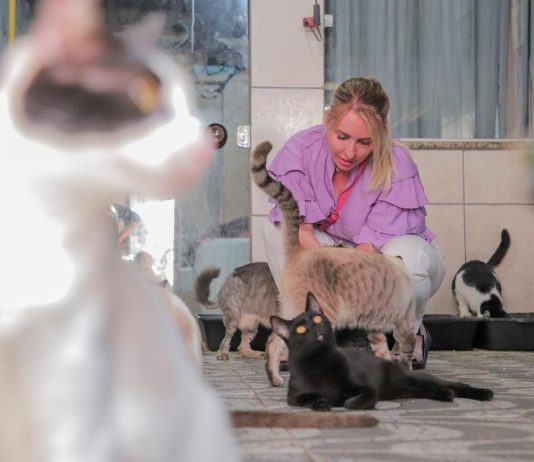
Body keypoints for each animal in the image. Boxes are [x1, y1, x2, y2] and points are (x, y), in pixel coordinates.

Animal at [270, 292, 494, 410]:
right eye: (300, 329)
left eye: (317, 319)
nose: (316, 330)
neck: (320, 361)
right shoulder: (294, 396)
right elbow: (309, 399)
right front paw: (323, 403)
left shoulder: (367, 388)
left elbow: (362, 398)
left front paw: (347, 402)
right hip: (409, 388)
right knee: (433, 389)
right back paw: (447, 395)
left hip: (415, 378)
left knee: (453, 384)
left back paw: (482, 393)